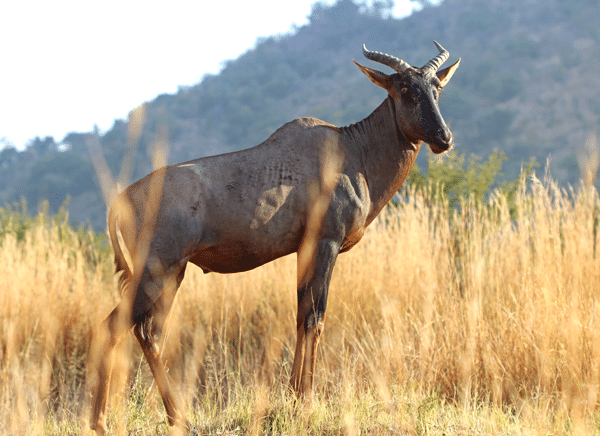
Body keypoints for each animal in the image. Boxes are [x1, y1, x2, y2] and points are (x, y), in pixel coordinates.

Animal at [90, 41, 460, 436]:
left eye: (436, 87)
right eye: (404, 89)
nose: (444, 139)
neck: (350, 151)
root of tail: (120, 200)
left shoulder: (304, 250)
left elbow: (300, 316)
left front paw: (295, 397)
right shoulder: (326, 243)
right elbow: (315, 317)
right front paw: (306, 403)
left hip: (172, 275)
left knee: (149, 332)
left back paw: (175, 418)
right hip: (156, 271)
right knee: (120, 327)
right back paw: (108, 421)